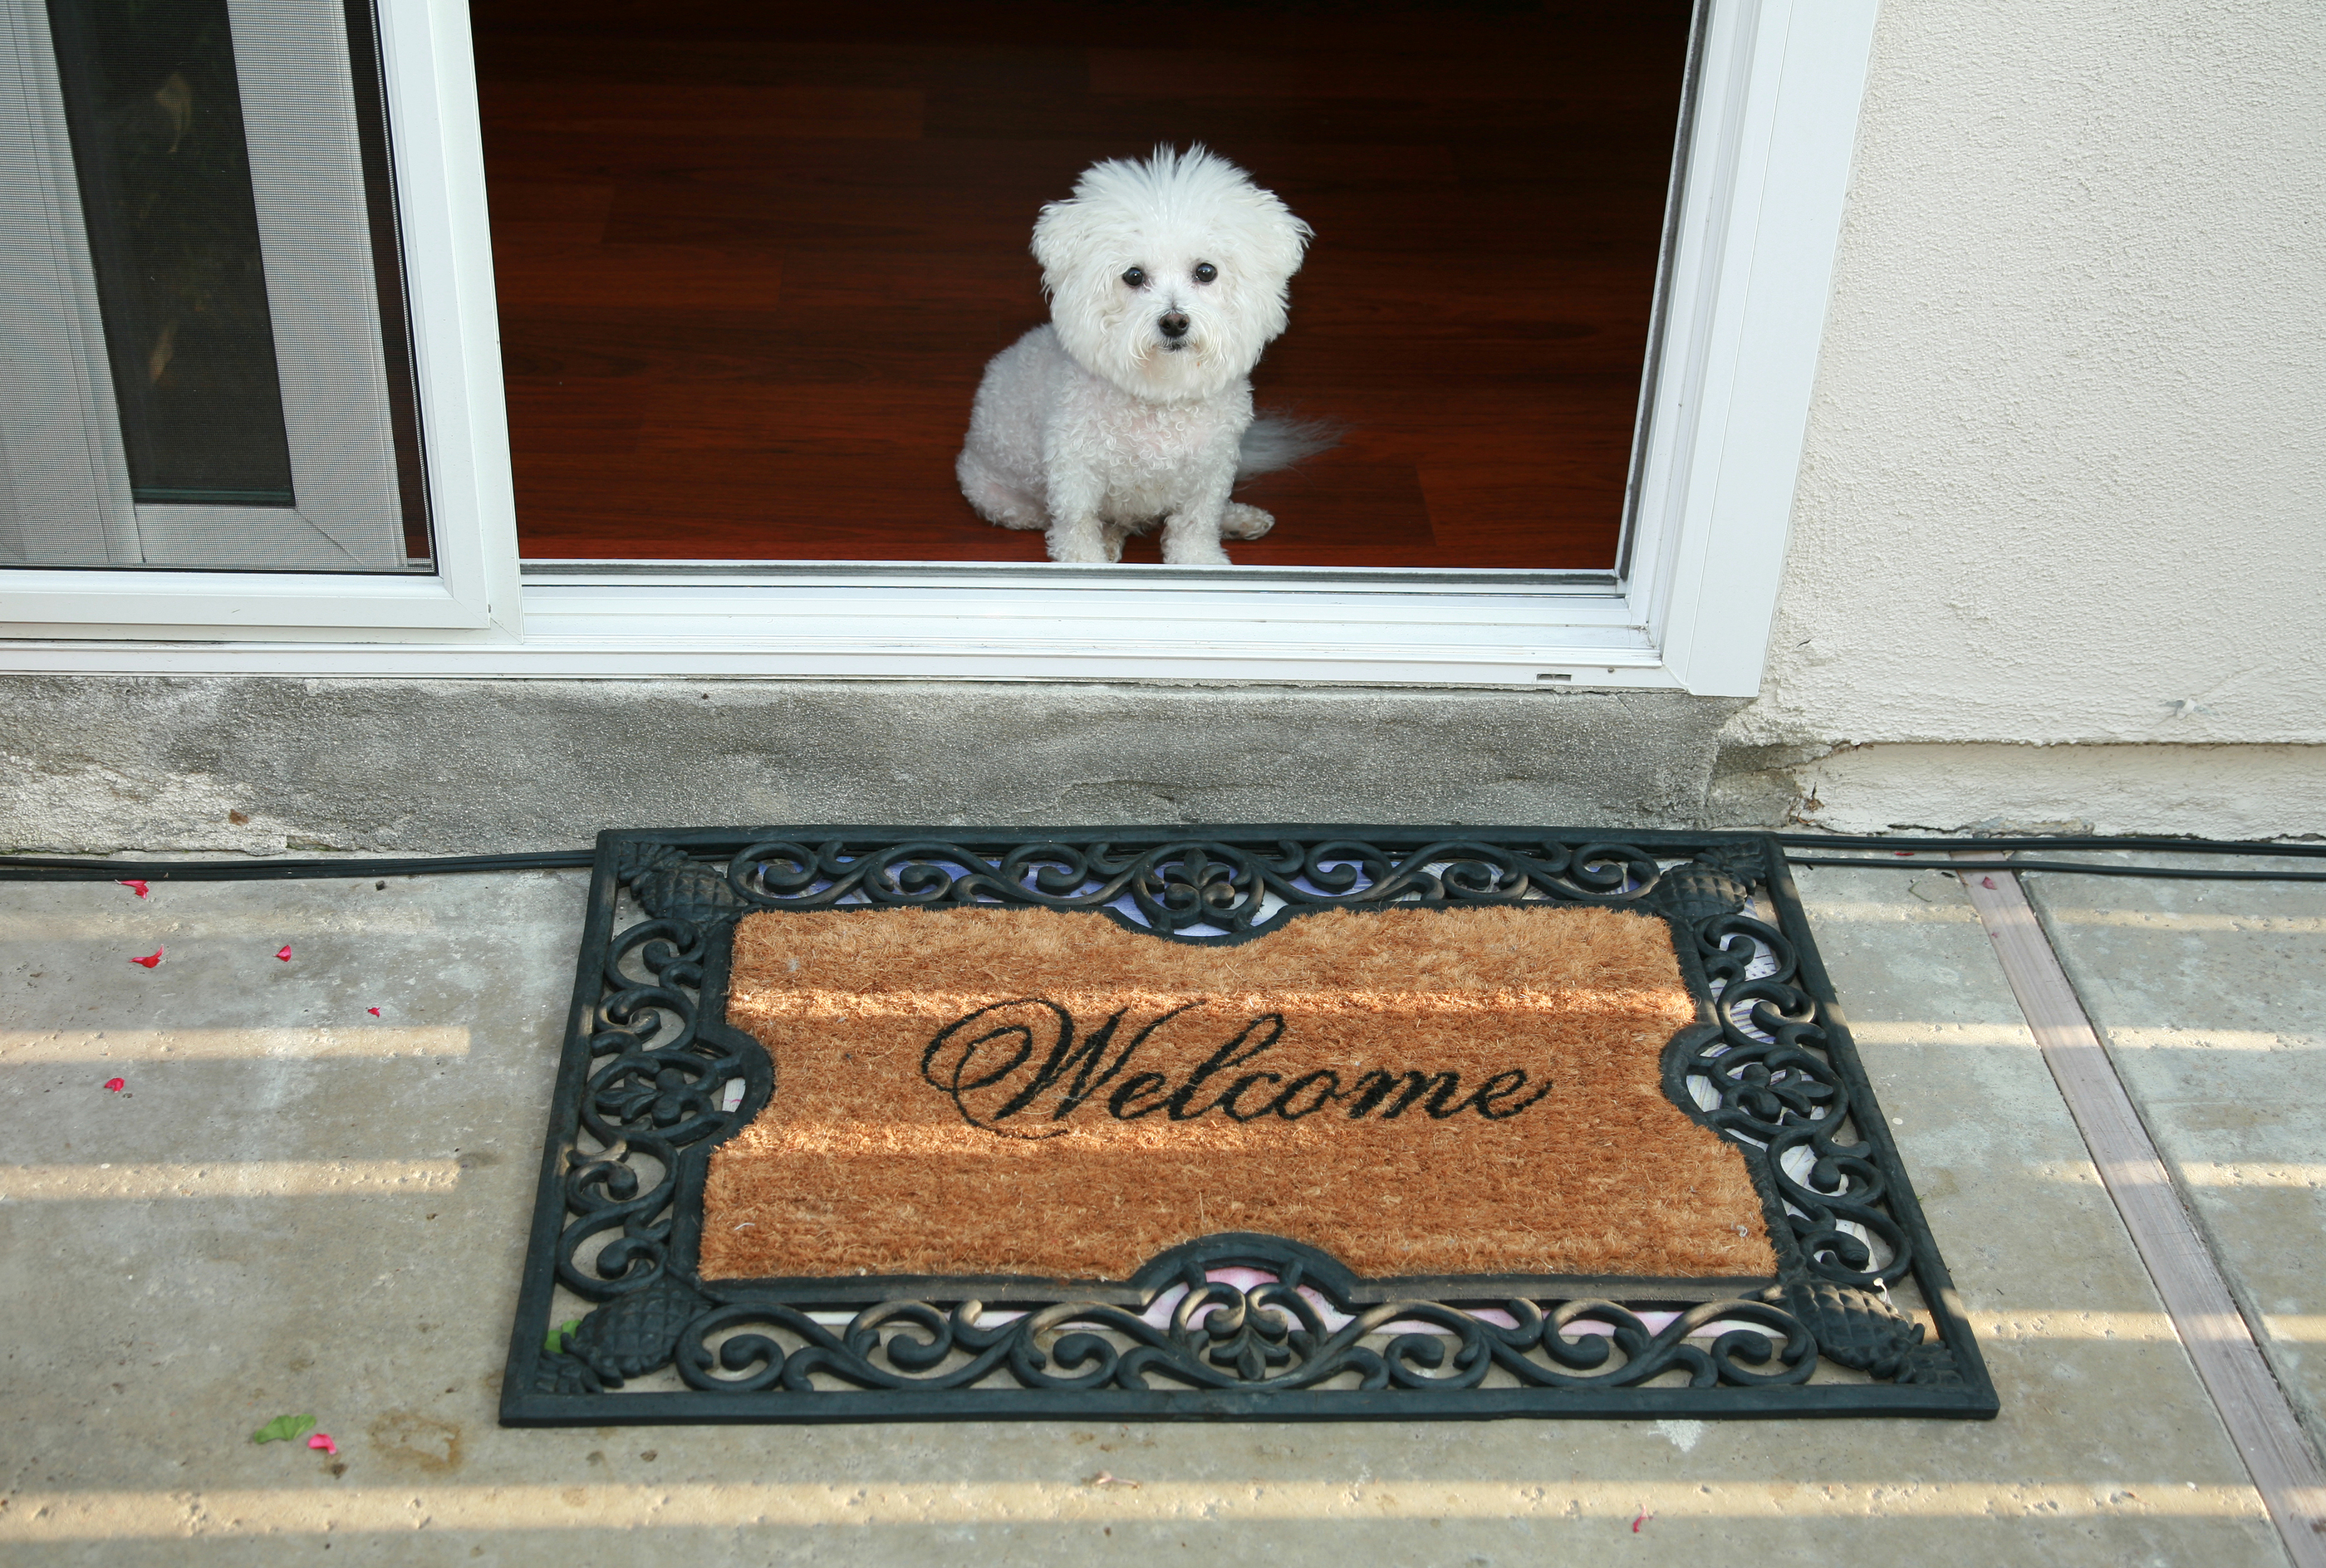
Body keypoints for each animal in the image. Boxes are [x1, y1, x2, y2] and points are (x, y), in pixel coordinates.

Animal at [958, 143, 1330, 565]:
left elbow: (1196, 524)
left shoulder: (1211, 470)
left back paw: (1237, 519)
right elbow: (1077, 527)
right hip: (1005, 501)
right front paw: (1086, 563)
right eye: (1133, 276)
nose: (1174, 321)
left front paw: (1200, 562)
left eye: (1206, 271)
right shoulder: (1074, 473)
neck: (1159, 398)